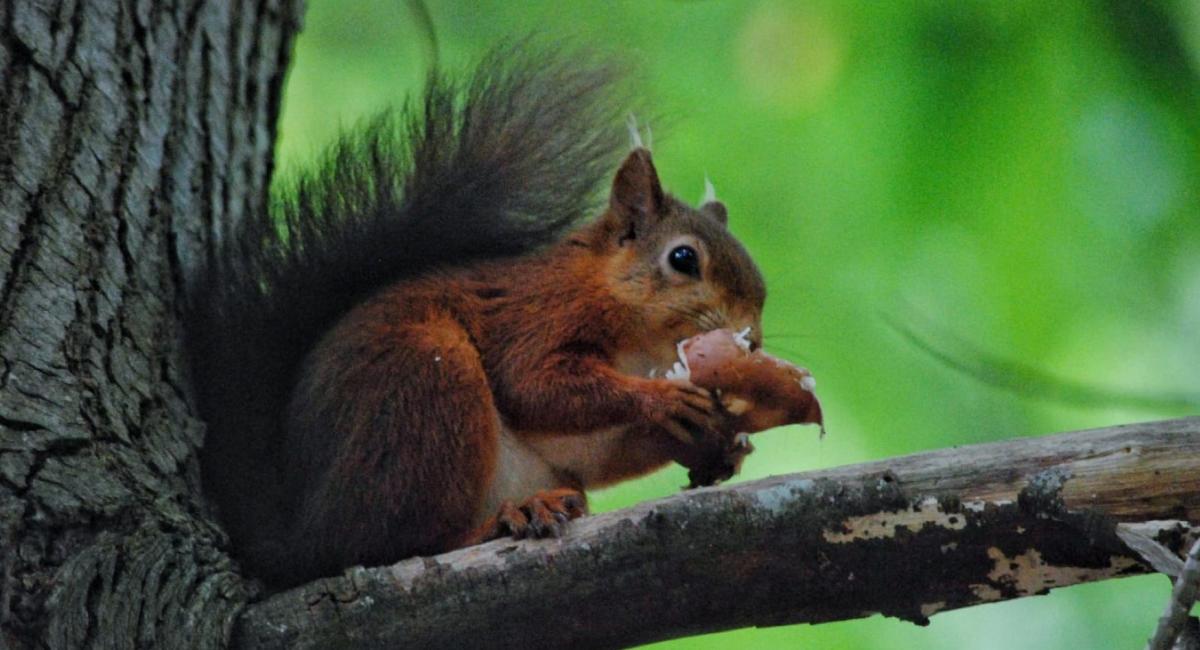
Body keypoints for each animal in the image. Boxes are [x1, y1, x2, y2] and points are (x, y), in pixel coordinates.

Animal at [187, 46, 767, 588]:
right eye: (683, 259)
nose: (755, 340)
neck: (640, 345)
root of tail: (301, 539)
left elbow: (605, 454)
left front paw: (717, 446)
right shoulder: (540, 315)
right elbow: (535, 385)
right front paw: (663, 400)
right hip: (425, 388)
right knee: (394, 544)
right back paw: (503, 520)